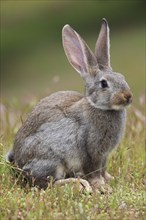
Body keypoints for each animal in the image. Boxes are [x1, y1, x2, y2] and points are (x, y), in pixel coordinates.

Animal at [7, 18, 132, 190]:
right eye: (104, 84)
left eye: (122, 77)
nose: (128, 96)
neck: (98, 107)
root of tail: (19, 165)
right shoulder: (90, 151)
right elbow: (93, 170)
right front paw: (100, 186)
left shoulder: (104, 156)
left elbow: (103, 169)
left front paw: (110, 179)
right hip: (50, 159)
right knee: (46, 183)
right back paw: (77, 183)